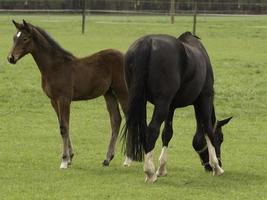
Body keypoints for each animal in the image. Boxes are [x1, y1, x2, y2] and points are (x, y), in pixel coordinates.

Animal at [7, 19, 129, 169]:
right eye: (14, 38)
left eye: (24, 38)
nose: (11, 58)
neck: (54, 67)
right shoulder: (54, 101)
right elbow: (63, 125)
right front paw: (70, 157)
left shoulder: (64, 99)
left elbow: (64, 128)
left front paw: (64, 161)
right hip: (109, 93)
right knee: (116, 120)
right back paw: (107, 158)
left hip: (123, 92)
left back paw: (128, 159)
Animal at [123, 31, 232, 183]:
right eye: (221, 139)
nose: (209, 167)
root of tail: (147, 44)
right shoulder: (205, 98)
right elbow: (208, 130)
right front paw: (217, 167)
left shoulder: (171, 106)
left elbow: (167, 133)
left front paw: (162, 169)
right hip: (162, 102)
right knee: (152, 130)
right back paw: (150, 172)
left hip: (140, 100)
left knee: (140, 128)